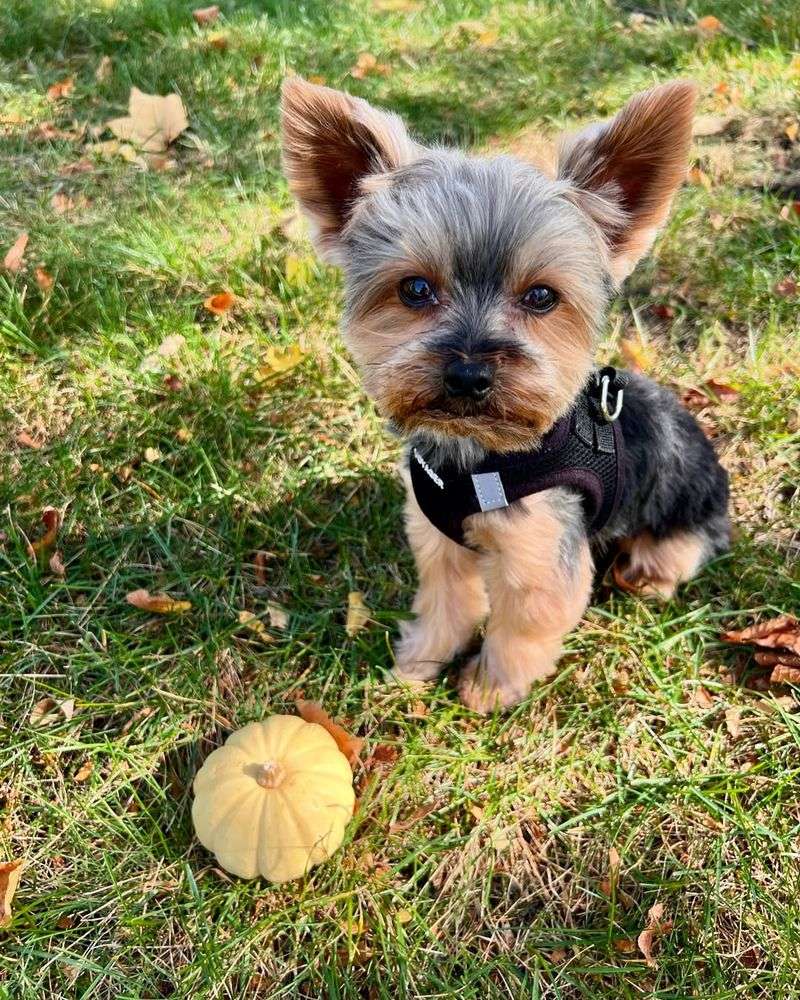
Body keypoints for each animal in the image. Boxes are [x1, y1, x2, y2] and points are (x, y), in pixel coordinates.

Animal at [282, 82, 732, 716]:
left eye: (542, 296)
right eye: (414, 289)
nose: (469, 374)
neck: (478, 458)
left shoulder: (539, 554)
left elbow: (522, 627)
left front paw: (489, 688)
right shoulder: (438, 541)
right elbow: (446, 604)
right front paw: (417, 665)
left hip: (680, 527)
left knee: (667, 559)